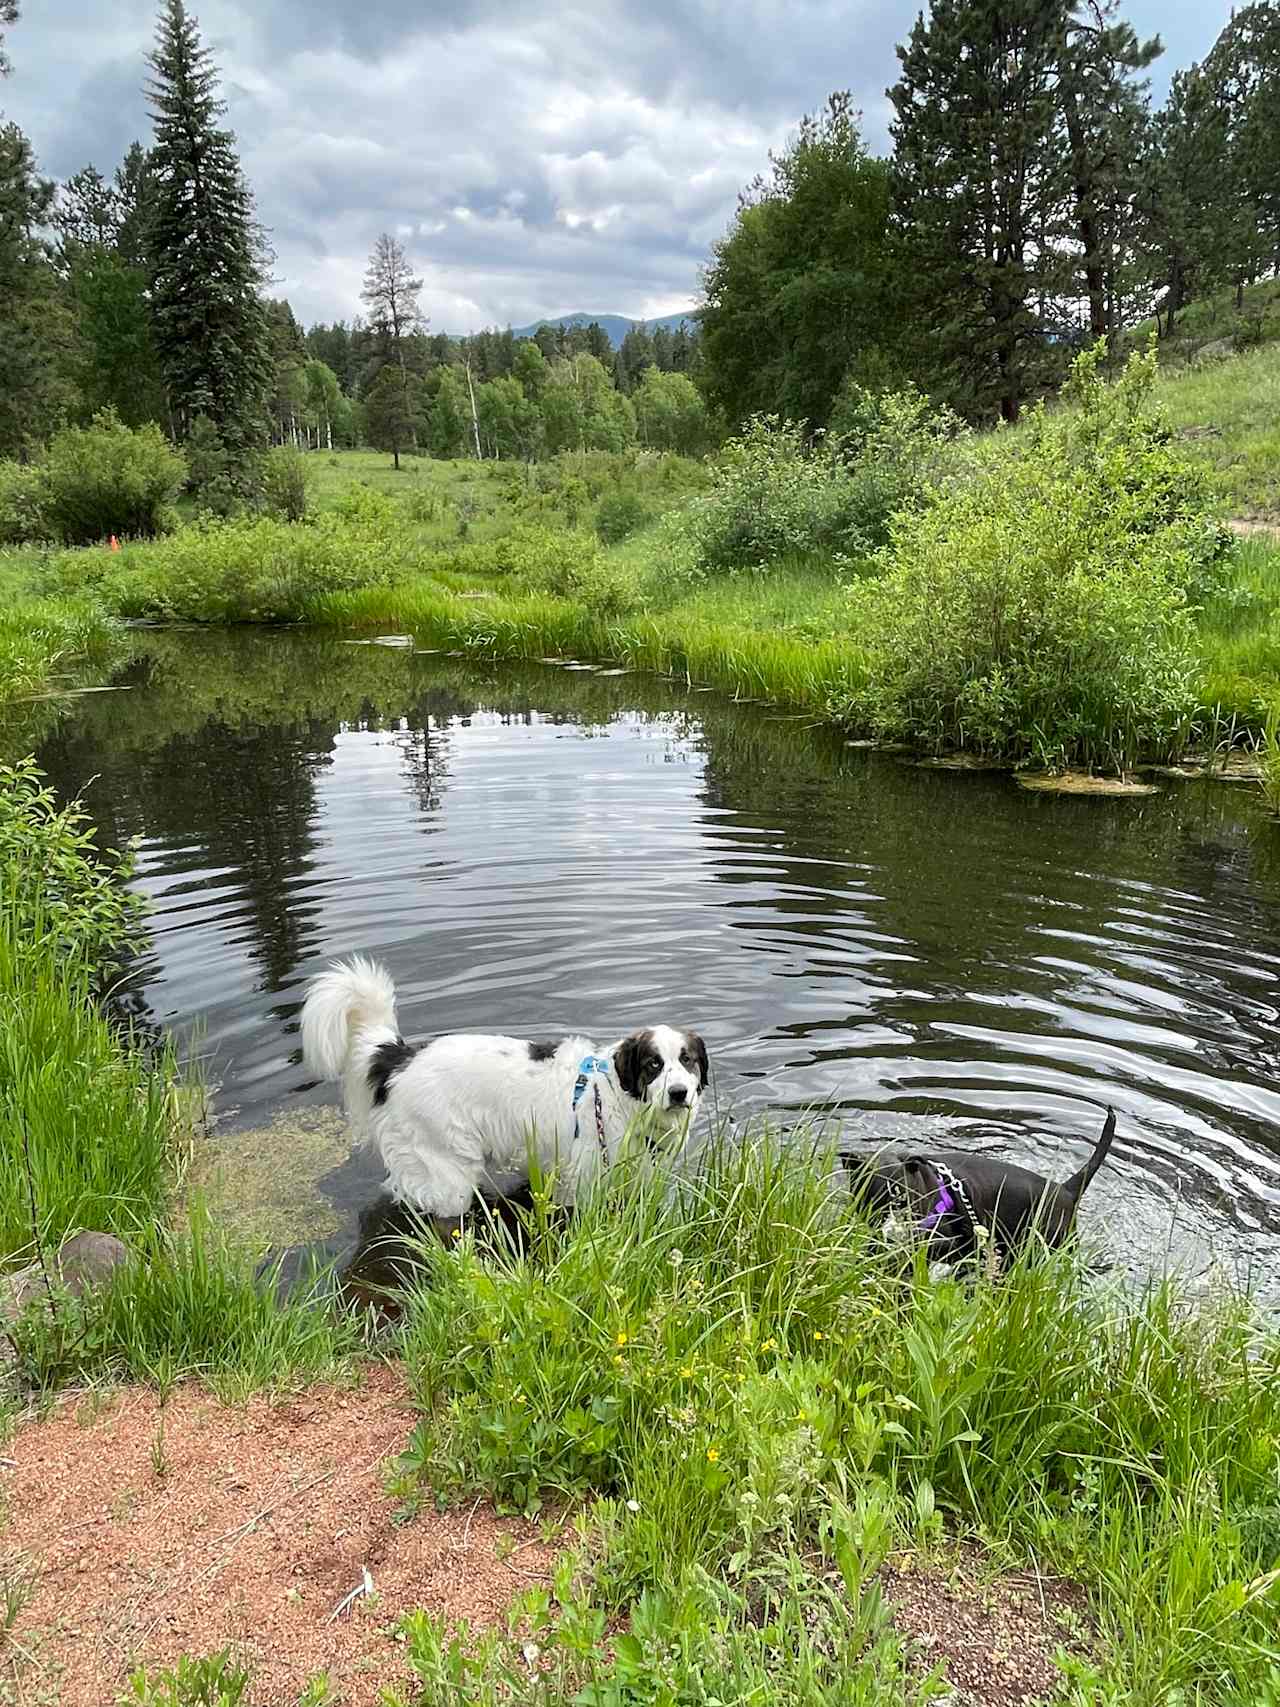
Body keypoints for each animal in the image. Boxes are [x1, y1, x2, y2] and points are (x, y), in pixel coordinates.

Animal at [307, 962, 716, 1229]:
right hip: (445, 1171)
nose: (679, 1093)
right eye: (653, 1064)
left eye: (687, 1060)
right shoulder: (582, 1178)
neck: (616, 1098)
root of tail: (397, 1057)